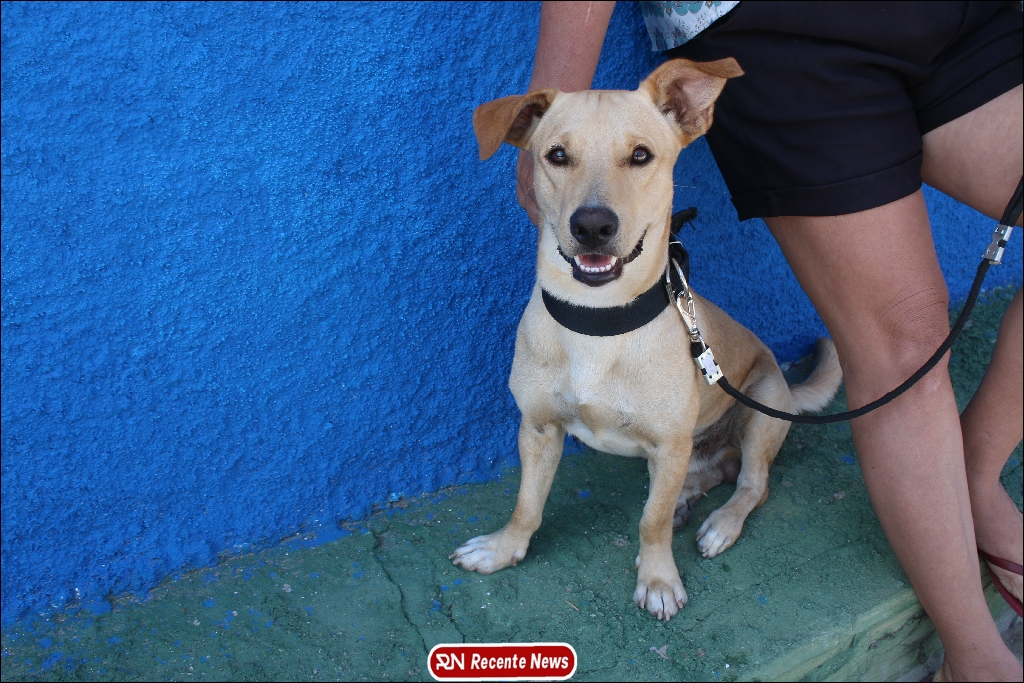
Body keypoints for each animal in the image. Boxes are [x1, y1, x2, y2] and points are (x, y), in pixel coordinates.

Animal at [451, 58, 842, 621]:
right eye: (557, 155)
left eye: (640, 156)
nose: (593, 225)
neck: (598, 321)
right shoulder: (539, 428)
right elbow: (527, 505)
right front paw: (505, 549)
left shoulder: (668, 443)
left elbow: (649, 522)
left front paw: (658, 579)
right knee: (713, 472)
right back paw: (687, 497)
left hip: (763, 406)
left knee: (752, 484)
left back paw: (720, 524)